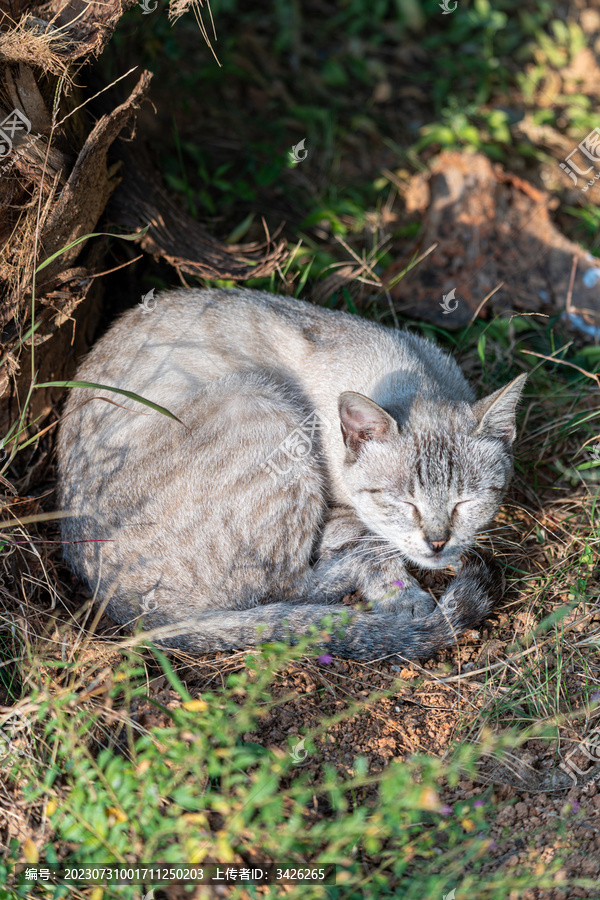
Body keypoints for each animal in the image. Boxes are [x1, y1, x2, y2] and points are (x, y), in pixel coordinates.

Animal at [56, 288, 524, 660]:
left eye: (466, 501)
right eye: (402, 502)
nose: (438, 543)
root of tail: (120, 609)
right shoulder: (340, 513)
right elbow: (374, 547)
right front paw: (404, 597)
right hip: (257, 402)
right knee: (282, 591)